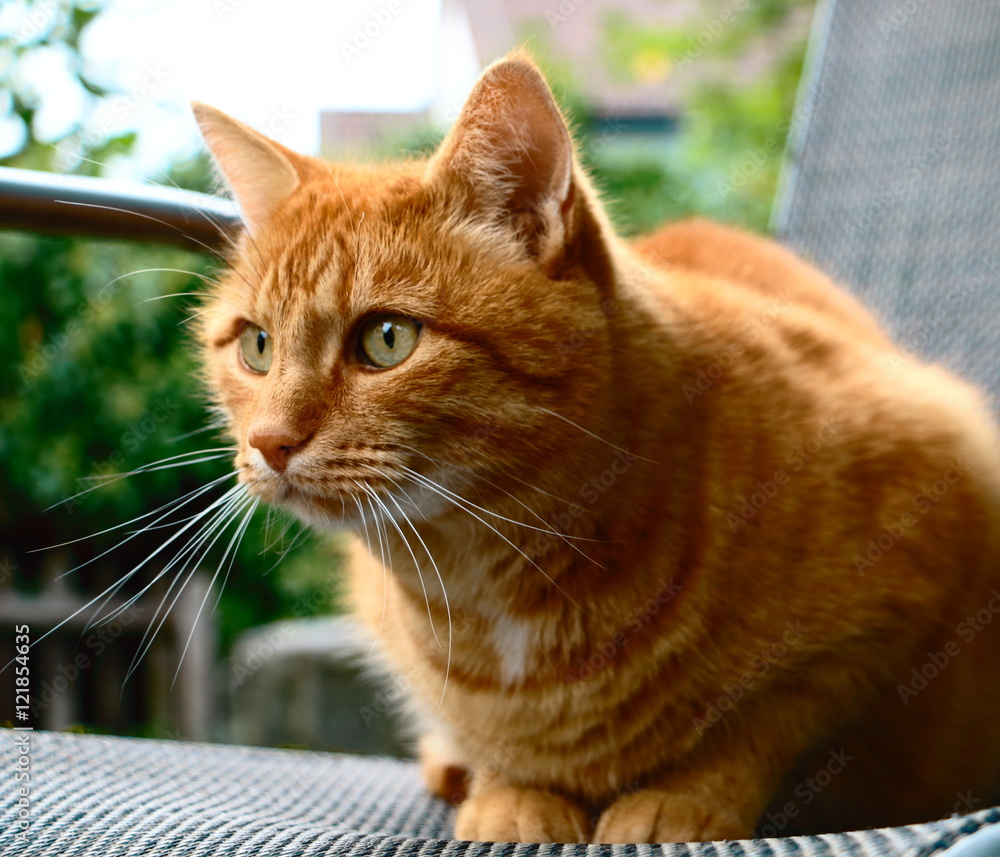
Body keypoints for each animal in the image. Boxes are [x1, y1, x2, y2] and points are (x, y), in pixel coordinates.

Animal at [191, 55, 1000, 844]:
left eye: (387, 339)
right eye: (257, 346)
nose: (269, 441)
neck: (494, 581)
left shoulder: (915, 547)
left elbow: (763, 723)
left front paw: (683, 798)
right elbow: (483, 735)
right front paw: (510, 790)